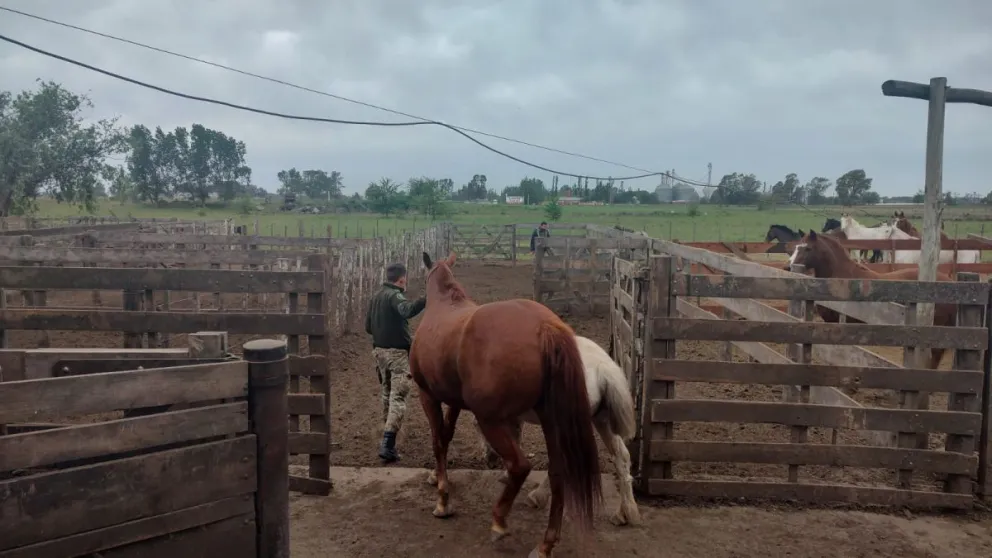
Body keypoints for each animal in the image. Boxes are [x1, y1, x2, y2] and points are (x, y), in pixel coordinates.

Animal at [411, 251, 602, 558]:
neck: (444, 305)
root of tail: (544, 326)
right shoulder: (454, 401)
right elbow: (447, 435)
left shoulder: (427, 395)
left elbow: (438, 441)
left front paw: (442, 500)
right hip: (550, 421)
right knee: (557, 473)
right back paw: (545, 544)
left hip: (490, 420)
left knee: (520, 466)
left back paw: (499, 521)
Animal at [428, 334, 640, 527]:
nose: (490, 460)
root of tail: (603, 368)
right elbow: (515, 439)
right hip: (602, 421)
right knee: (622, 456)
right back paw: (625, 512)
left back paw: (538, 496)